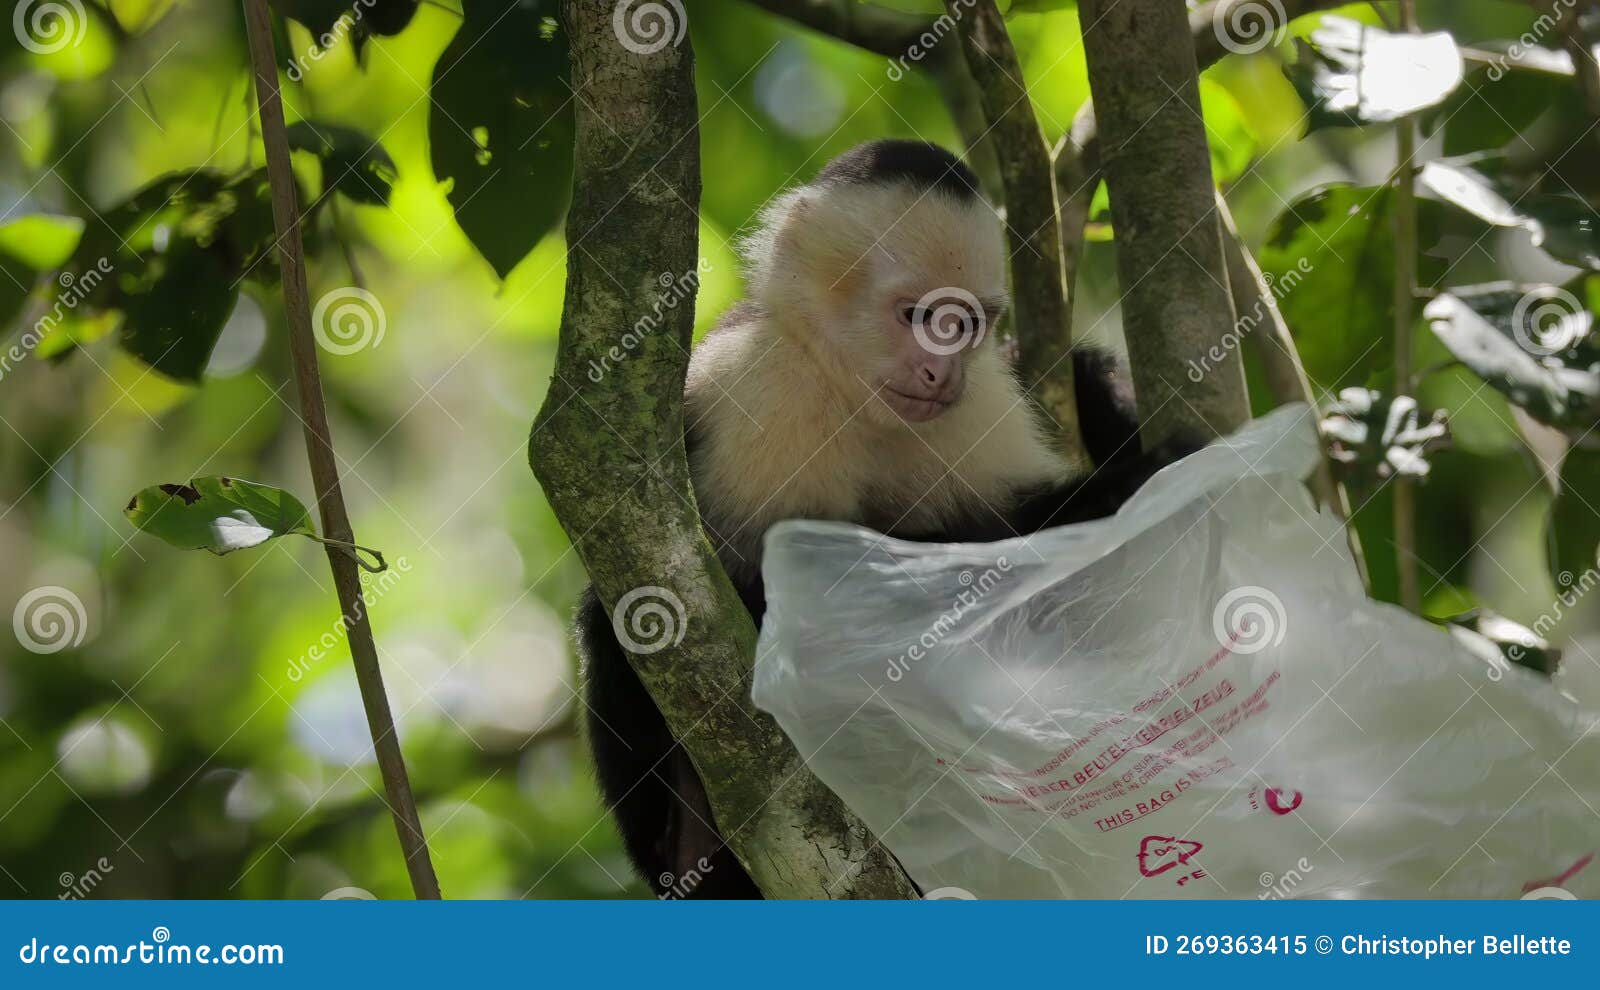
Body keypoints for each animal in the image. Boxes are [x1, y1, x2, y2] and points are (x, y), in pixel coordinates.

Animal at [572, 137, 1190, 895]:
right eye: (920, 317)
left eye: (966, 324)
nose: (941, 374)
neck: (854, 397)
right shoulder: (764, 386)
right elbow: (774, 595)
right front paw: (1105, 498)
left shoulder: (982, 407)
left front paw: (1101, 404)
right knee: (616, 619)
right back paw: (684, 850)